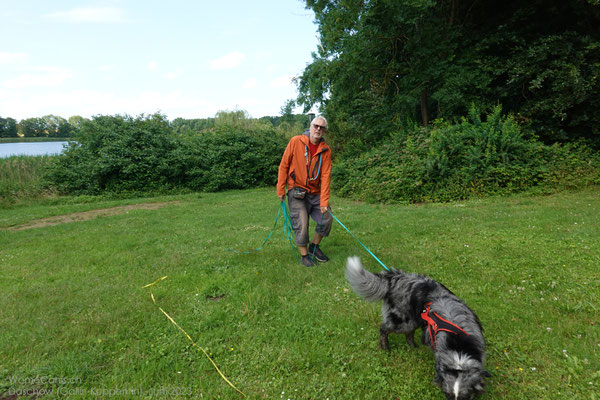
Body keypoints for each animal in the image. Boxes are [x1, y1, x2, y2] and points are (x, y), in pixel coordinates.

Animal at [344, 256, 490, 400]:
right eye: (447, 395)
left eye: (464, 397)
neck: (459, 345)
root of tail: (396, 277)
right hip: (403, 321)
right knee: (384, 328)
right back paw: (385, 347)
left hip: (413, 320)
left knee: (409, 334)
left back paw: (413, 346)